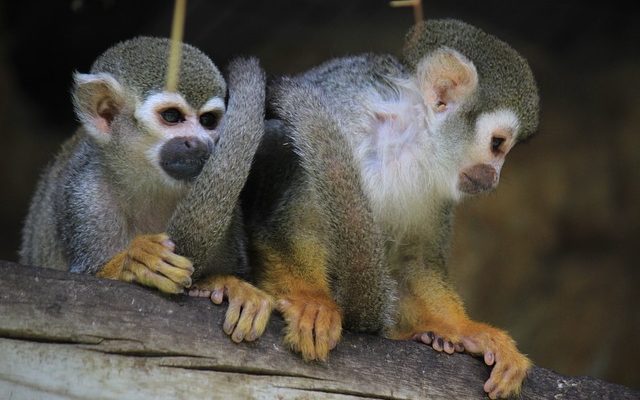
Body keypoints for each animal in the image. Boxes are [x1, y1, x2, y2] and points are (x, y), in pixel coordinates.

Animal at [20, 38, 272, 344]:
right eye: (172, 116)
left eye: (208, 121)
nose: (199, 143)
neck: (151, 183)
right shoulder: (86, 197)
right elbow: (86, 281)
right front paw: (136, 261)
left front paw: (227, 284)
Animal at [245, 18, 540, 396]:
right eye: (497, 144)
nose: (493, 177)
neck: (408, 138)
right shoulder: (341, 122)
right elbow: (291, 226)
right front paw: (312, 301)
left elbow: (415, 260)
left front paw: (467, 330)